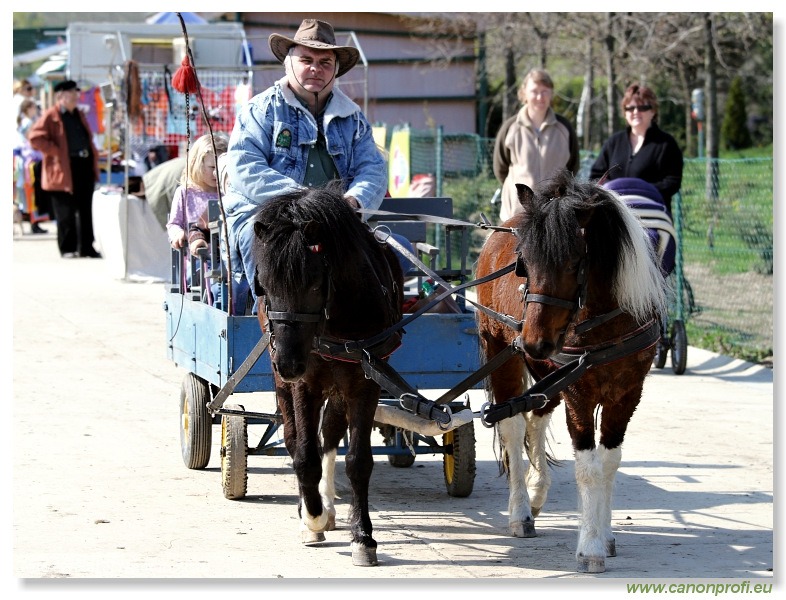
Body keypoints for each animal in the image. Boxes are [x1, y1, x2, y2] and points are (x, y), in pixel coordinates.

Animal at [251, 186, 402, 568]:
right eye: (265, 285)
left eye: (316, 284)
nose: (287, 362)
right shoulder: (306, 384)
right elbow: (305, 455)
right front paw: (312, 518)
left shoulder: (365, 382)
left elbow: (357, 460)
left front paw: (362, 536)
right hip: (285, 382)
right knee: (296, 439)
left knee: (331, 436)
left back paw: (330, 504)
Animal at [474, 170, 664, 572]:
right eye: (523, 262)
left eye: (575, 260)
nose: (533, 341)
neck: (605, 321)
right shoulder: (580, 394)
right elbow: (588, 468)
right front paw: (590, 546)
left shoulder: (628, 394)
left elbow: (609, 462)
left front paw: (605, 535)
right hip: (504, 355)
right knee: (513, 428)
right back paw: (520, 512)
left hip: (547, 373)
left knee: (536, 417)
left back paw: (535, 493)